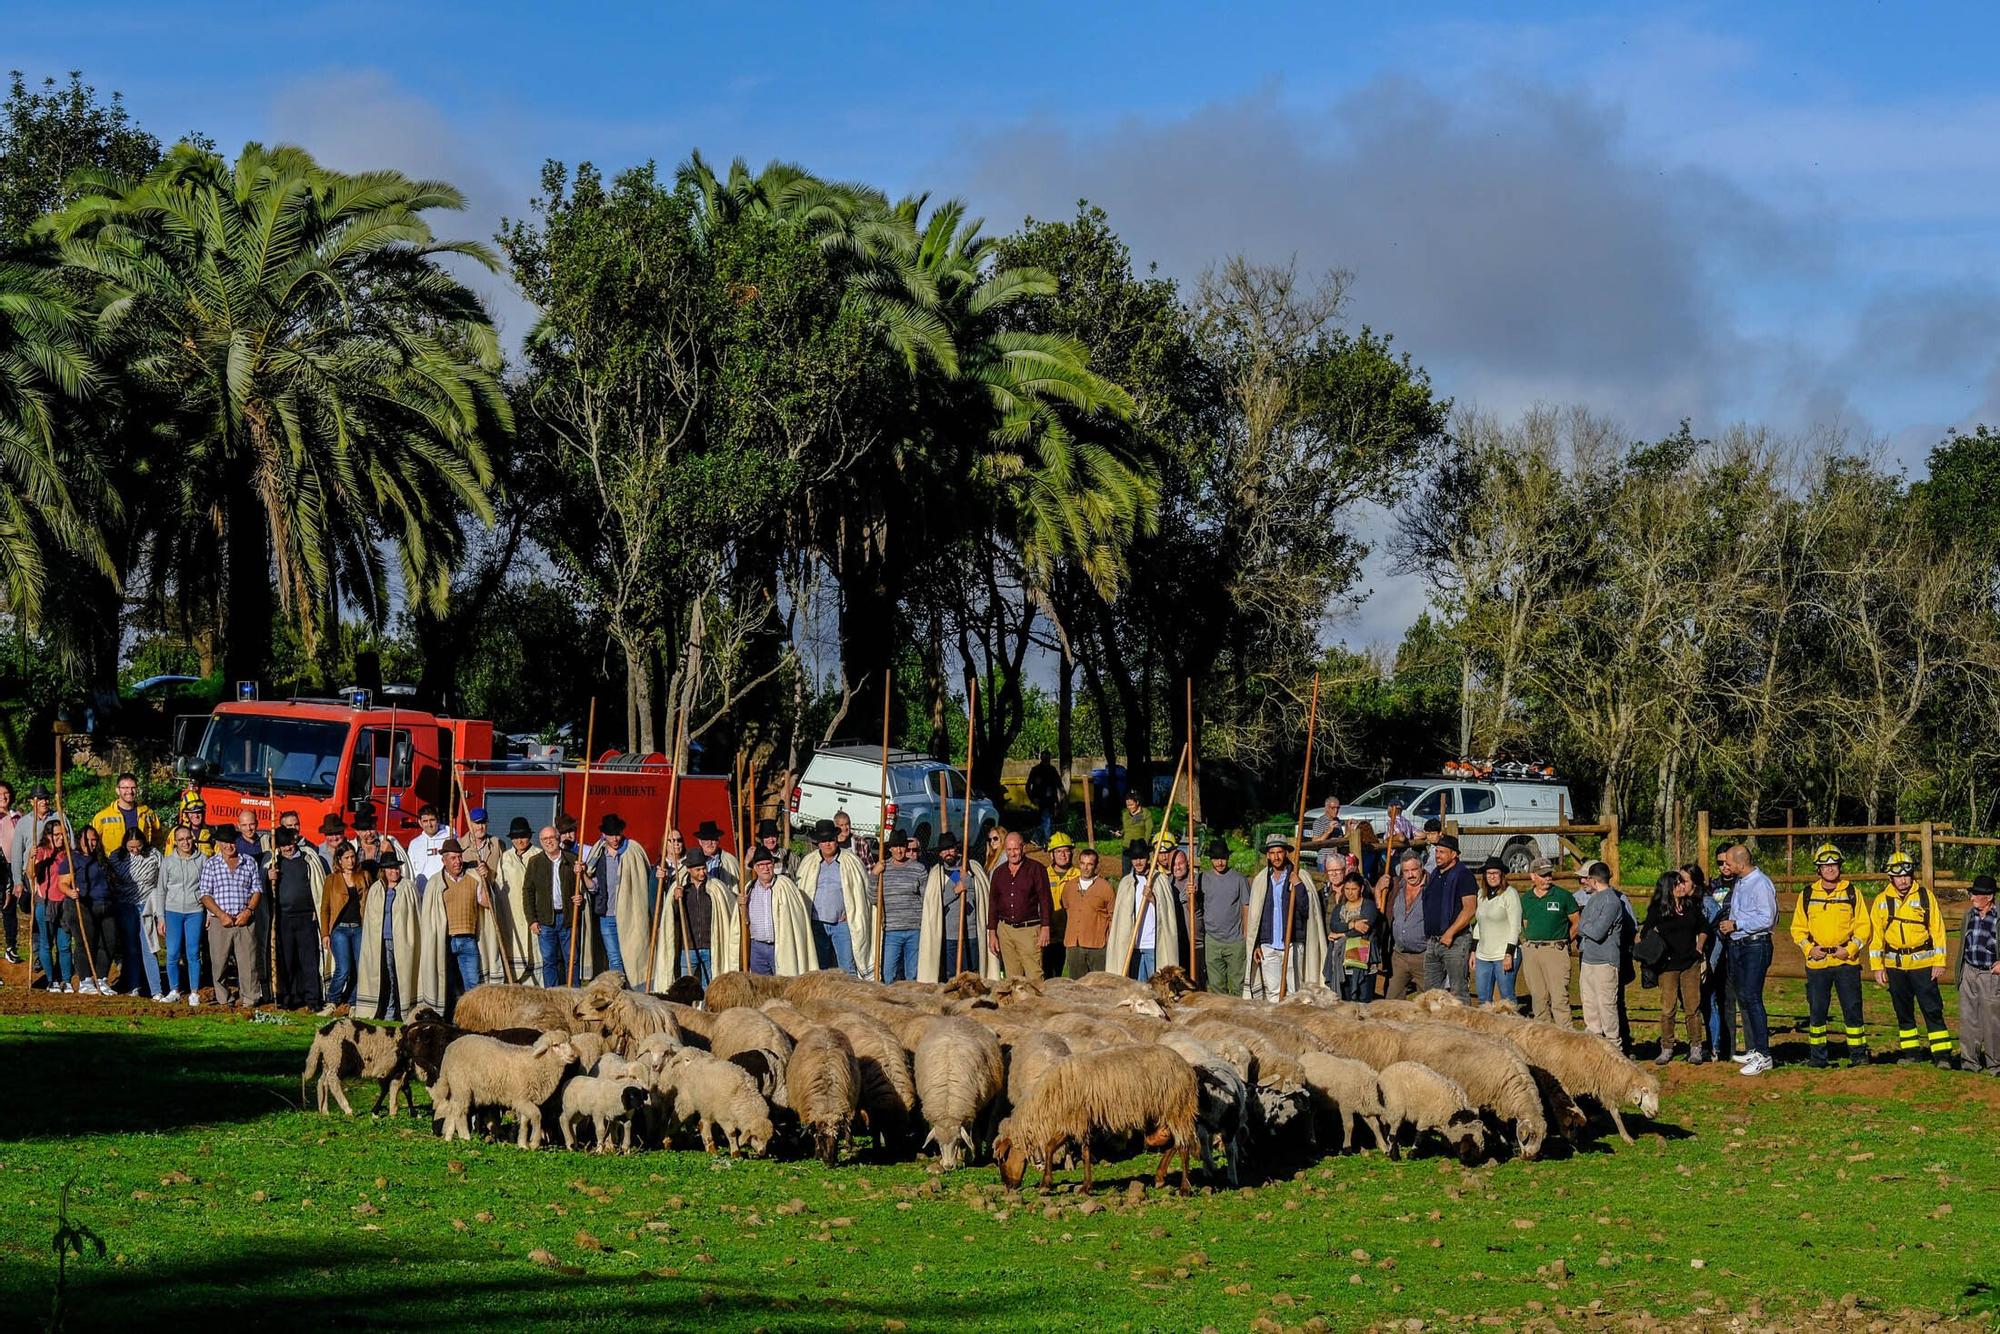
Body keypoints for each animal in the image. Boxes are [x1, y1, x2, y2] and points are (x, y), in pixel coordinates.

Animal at [426, 1032, 576, 1152]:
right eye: (556, 1045)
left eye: (569, 1042)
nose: (573, 1056)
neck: (537, 1063)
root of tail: (449, 1050)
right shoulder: (520, 1099)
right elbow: (537, 1115)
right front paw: (534, 1143)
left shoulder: (526, 1098)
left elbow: (525, 1122)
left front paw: (522, 1144)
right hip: (462, 1085)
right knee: (460, 1112)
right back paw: (465, 1137)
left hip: (457, 1088)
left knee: (453, 1109)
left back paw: (448, 1138)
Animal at [992, 1048, 1192, 1192]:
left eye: (1002, 1159)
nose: (1007, 1185)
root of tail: (1185, 1065)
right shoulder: (1075, 1122)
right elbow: (1075, 1150)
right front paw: (1084, 1186)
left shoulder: (1073, 1120)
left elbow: (1062, 1149)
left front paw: (1047, 1185)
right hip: (1165, 1116)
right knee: (1173, 1143)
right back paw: (1159, 1178)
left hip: (1178, 1108)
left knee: (1184, 1146)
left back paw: (1184, 1188)